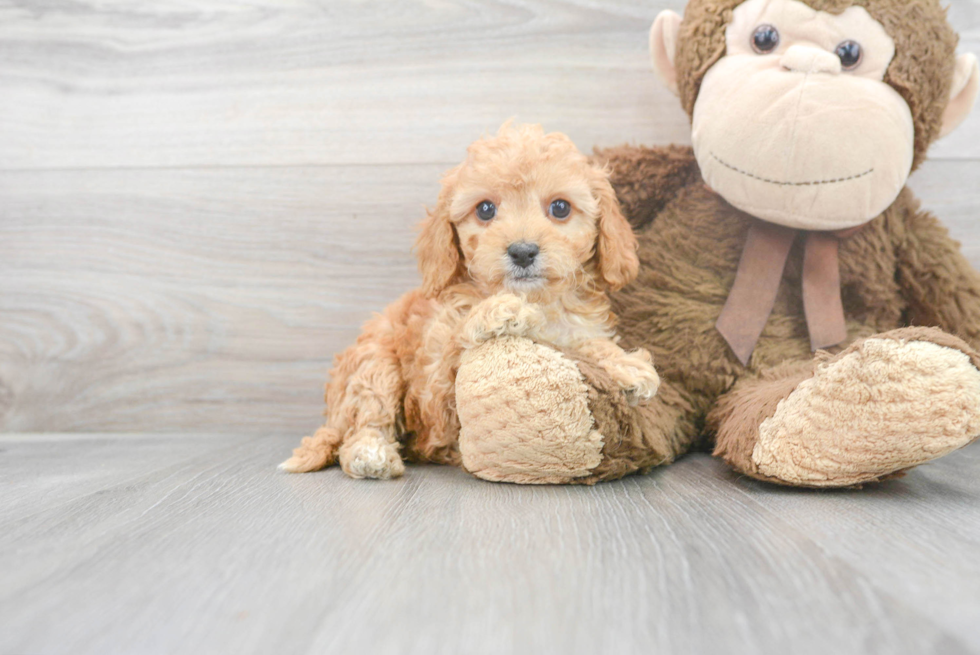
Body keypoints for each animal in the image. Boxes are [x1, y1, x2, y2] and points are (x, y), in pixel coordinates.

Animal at [278, 124, 660, 482]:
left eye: (561, 207)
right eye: (486, 210)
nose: (523, 251)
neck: (538, 299)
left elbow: (587, 343)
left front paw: (627, 365)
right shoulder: (435, 391)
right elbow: (457, 339)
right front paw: (499, 311)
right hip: (374, 365)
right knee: (365, 420)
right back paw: (371, 453)